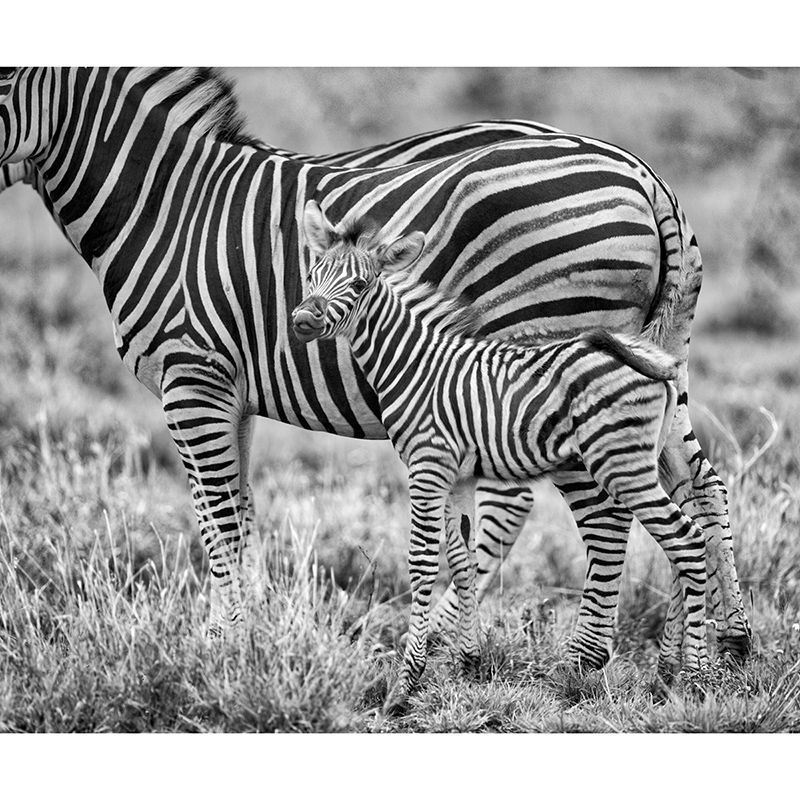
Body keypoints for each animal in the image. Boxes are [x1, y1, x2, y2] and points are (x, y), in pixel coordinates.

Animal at [291, 205, 709, 707]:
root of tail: (646, 357)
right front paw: (470, 664)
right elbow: (464, 559)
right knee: (685, 536)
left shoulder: (427, 466)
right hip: (642, 459)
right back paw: (670, 675)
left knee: (687, 538)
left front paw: (406, 683)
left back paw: (697, 677)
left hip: (620, 464)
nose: (302, 320)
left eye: (358, 286)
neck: (413, 364)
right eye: (312, 275)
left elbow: (423, 562)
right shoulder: (459, 476)